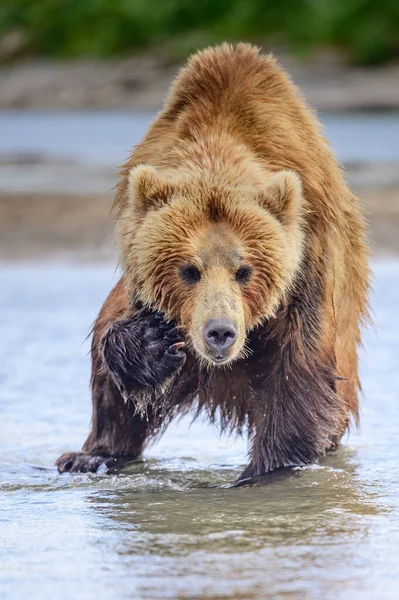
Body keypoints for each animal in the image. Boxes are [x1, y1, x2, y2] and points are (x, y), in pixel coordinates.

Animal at [57, 43, 372, 482]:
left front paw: (265, 471)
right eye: (188, 270)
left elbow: (300, 372)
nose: (219, 332)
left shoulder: (309, 262)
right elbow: (123, 345)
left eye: (245, 271)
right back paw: (92, 456)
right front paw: (150, 342)